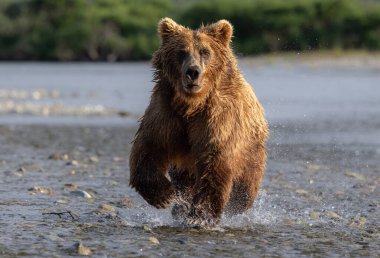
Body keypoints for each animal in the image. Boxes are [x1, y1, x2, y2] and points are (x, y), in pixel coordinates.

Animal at [129, 17, 268, 226]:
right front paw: (165, 196)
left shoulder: (217, 119)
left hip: (250, 149)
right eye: (181, 52)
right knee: (184, 181)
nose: (192, 72)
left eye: (205, 51)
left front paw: (200, 216)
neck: (191, 105)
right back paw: (179, 207)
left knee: (245, 186)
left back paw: (236, 203)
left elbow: (215, 160)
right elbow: (148, 147)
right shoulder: (167, 116)